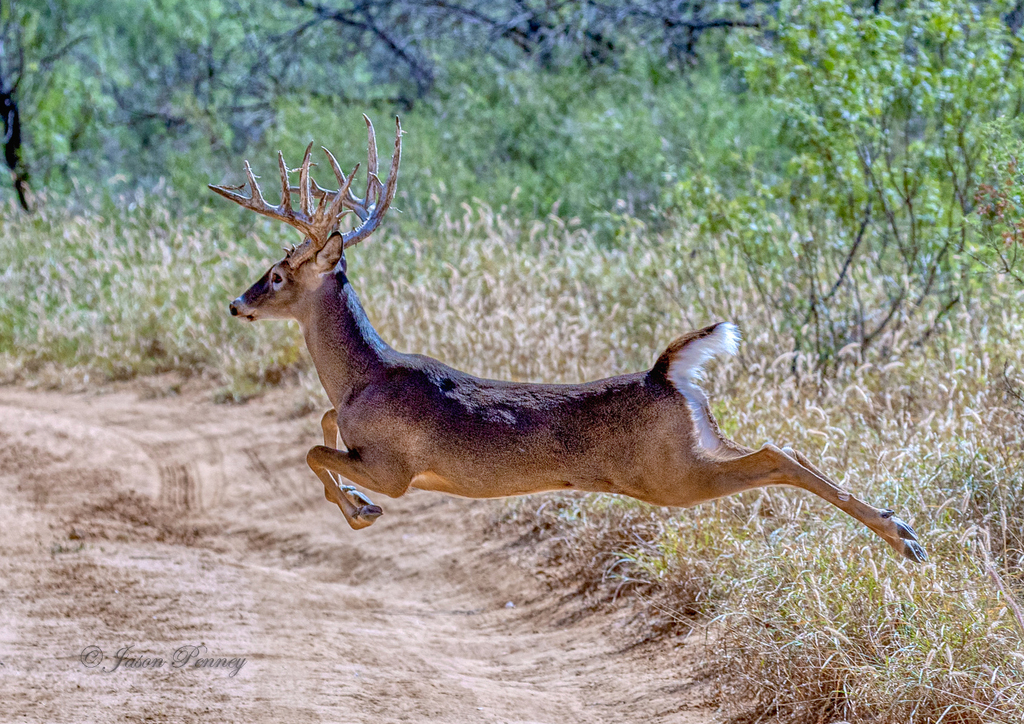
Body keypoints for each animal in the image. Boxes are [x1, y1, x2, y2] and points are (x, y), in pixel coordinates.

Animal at [209, 116, 927, 564]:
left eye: (277, 274)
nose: (237, 303)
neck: (362, 376)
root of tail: (668, 373)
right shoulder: (359, 433)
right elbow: (322, 425)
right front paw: (355, 506)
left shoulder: (396, 470)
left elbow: (312, 448)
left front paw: (360, 511)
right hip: (698, 444)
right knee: (781, 447)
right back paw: (905, 532)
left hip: (670, 474)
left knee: (777, 455)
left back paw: (906, 540)